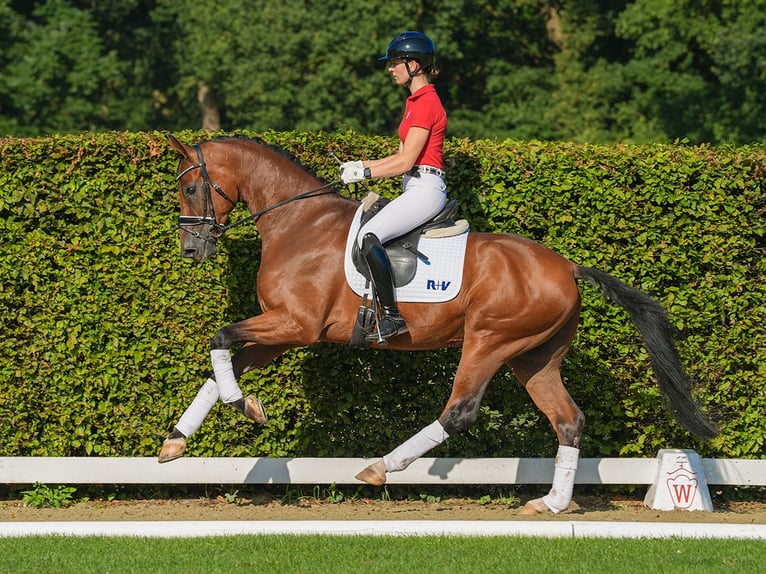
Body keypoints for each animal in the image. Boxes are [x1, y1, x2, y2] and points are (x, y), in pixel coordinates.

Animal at [160, 136, 720, 516]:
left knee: (460, 412)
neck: (298, 224)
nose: (190, 250)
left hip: (490, 341)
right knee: (568, 419)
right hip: (534, 356)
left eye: (190, 187)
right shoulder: (280, 332)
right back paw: (551, 504)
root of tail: (567, 266)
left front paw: (245, 407)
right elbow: (221, 364)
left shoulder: (295, 325)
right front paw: (177, 441)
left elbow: (219, 340)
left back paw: (381, 467)